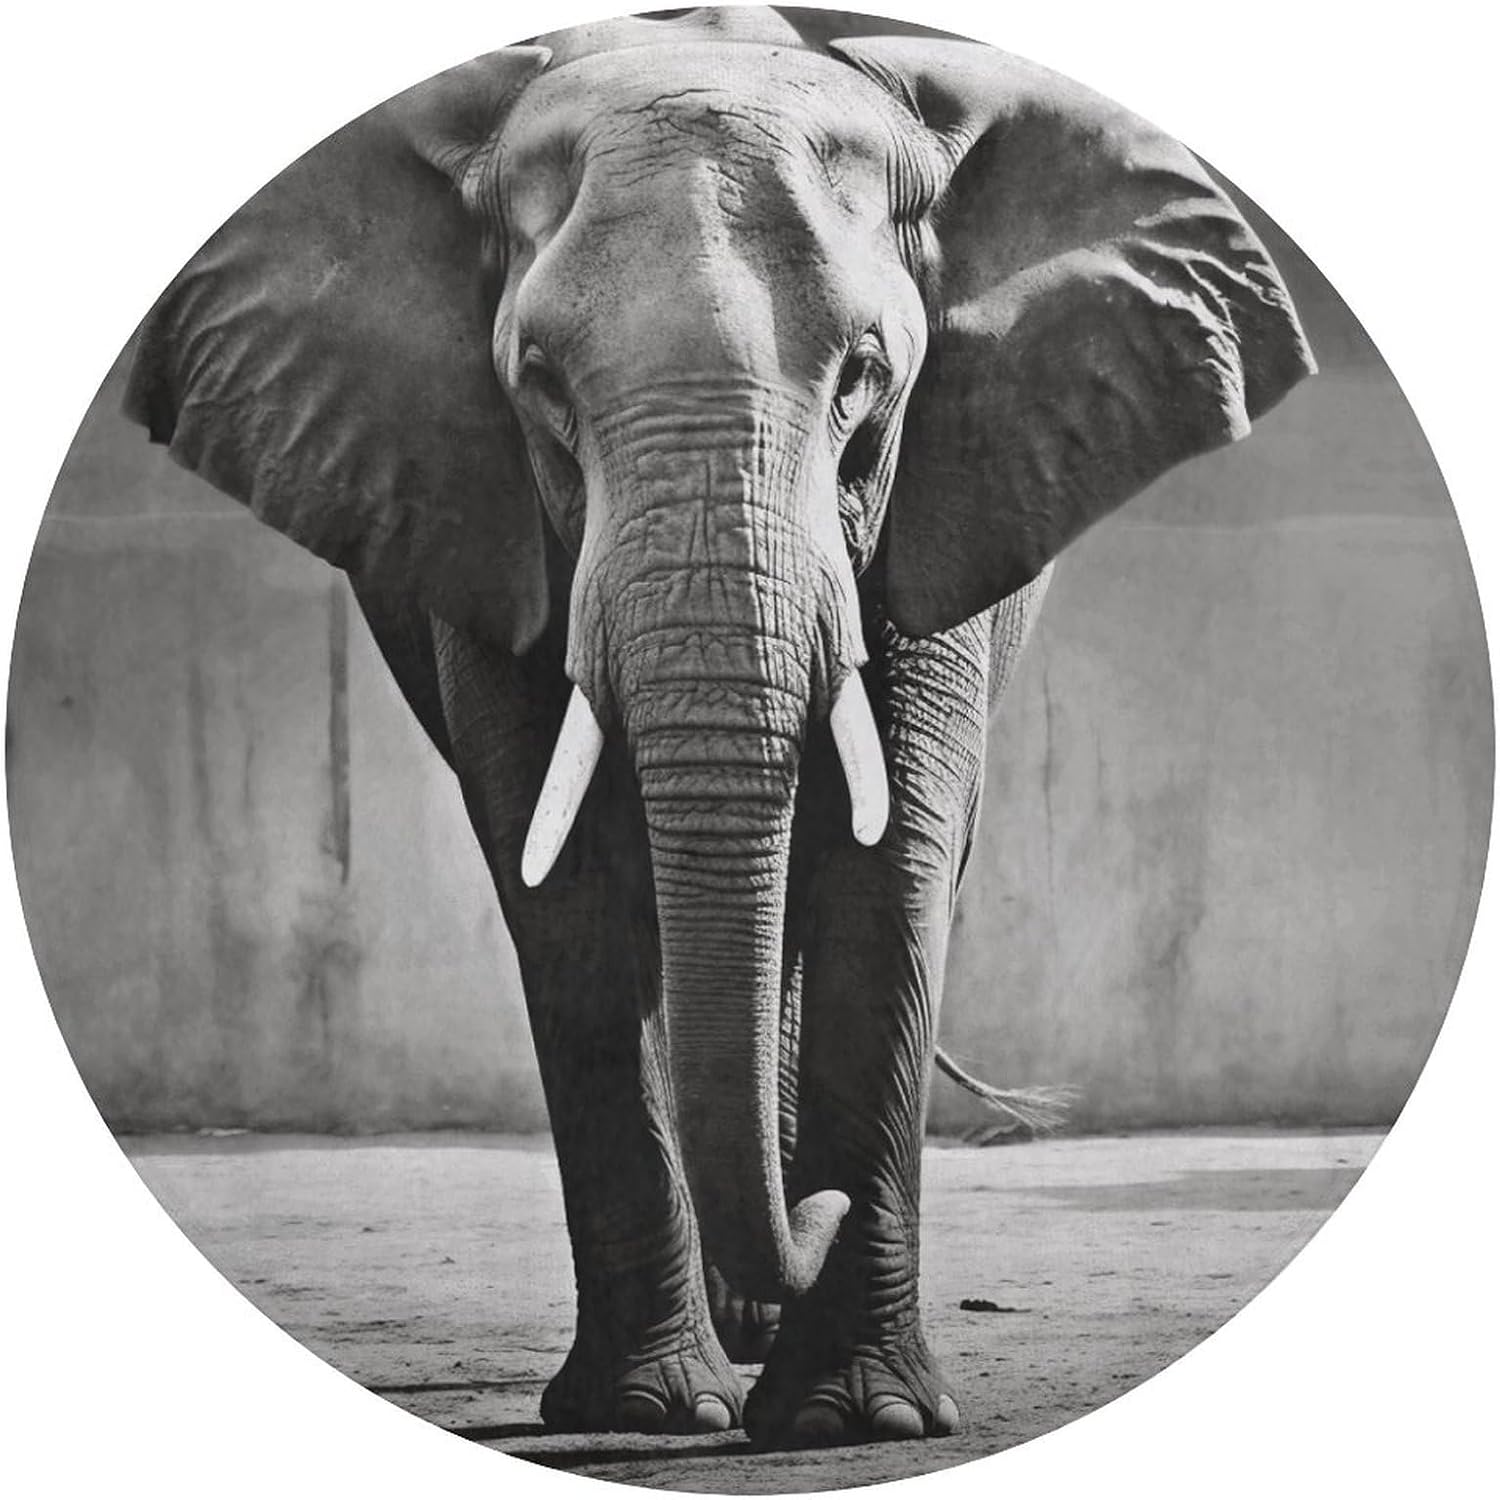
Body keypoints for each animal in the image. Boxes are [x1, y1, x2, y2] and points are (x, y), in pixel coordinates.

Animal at [122, 6, 1313, 1449]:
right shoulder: (474, 512)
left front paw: (857, 1422)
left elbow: (890, 860)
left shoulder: (944, 487)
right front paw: (648, 1411)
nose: (819, 1212)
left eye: (867, 379)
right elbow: (564, 881)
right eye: (540, 385)